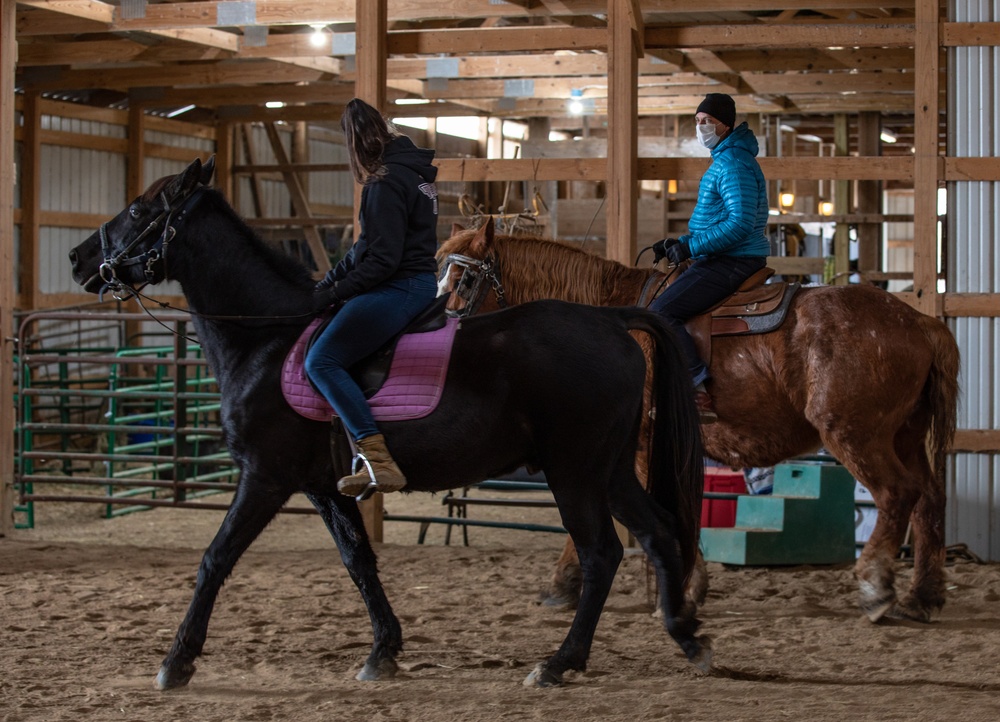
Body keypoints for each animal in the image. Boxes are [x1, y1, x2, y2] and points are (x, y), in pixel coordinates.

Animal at [68, 158, 712, 688]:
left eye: (138, 210)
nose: (78, 259)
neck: (267, 339)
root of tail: (612, 321)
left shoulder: (264, 478)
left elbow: (215, 559)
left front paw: (177, 660)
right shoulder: (324, 487)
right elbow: (360, 562)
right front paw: (384, 651)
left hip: (574, 471)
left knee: (602, 552)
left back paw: (560, 662)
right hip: (610, 468)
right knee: (658, 532)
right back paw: (685, 633)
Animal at [438, 217, 960, 620]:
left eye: (463, 281)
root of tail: (919, 322)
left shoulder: (635, 446)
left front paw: (670, 591)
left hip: (855, 434)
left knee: (898, 494)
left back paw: (876, 587)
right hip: (904, 435)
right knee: (930, 498)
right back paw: (923, 596)